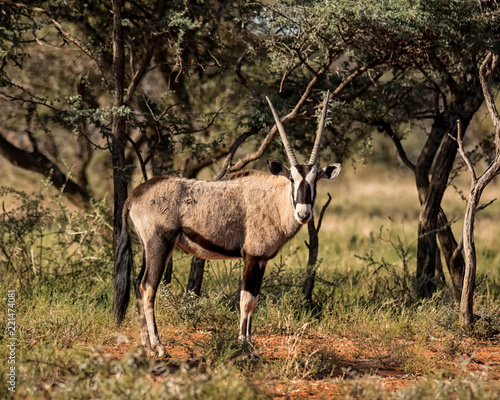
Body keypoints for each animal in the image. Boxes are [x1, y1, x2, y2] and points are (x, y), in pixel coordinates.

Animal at [113, 93, 340, 356]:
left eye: (315, 181)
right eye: (292, 179)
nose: (303, 213)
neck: (274, 200)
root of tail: (135, 194)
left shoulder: (262, 260)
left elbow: (255, 298)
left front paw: (249, 343)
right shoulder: (251, 256)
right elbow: (246, 300)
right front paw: (245, 346)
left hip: (148, 248)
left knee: (138, 285)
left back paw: (145, 345)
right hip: (160, 245)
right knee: (148, 288)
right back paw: (159, 347)